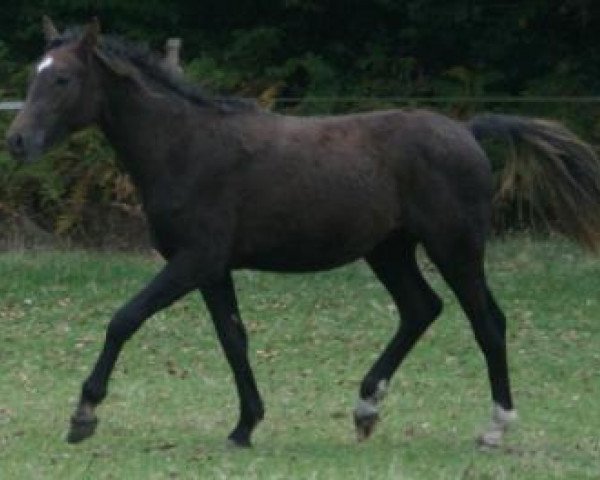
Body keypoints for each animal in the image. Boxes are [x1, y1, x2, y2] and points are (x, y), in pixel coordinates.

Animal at [4, 17, 600, 446]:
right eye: (34, 76)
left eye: (63, 79)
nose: (18, 141)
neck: (185, 146)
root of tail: (468, 130)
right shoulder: (213, 268)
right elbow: (233, 339)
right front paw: (244, 427)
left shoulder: (193, 260)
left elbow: (124, 319)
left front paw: (84, 415)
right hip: (390, 251)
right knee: (420, 309)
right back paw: (365, 410)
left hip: (455, 247)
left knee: (488, 322)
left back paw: (496, 426)